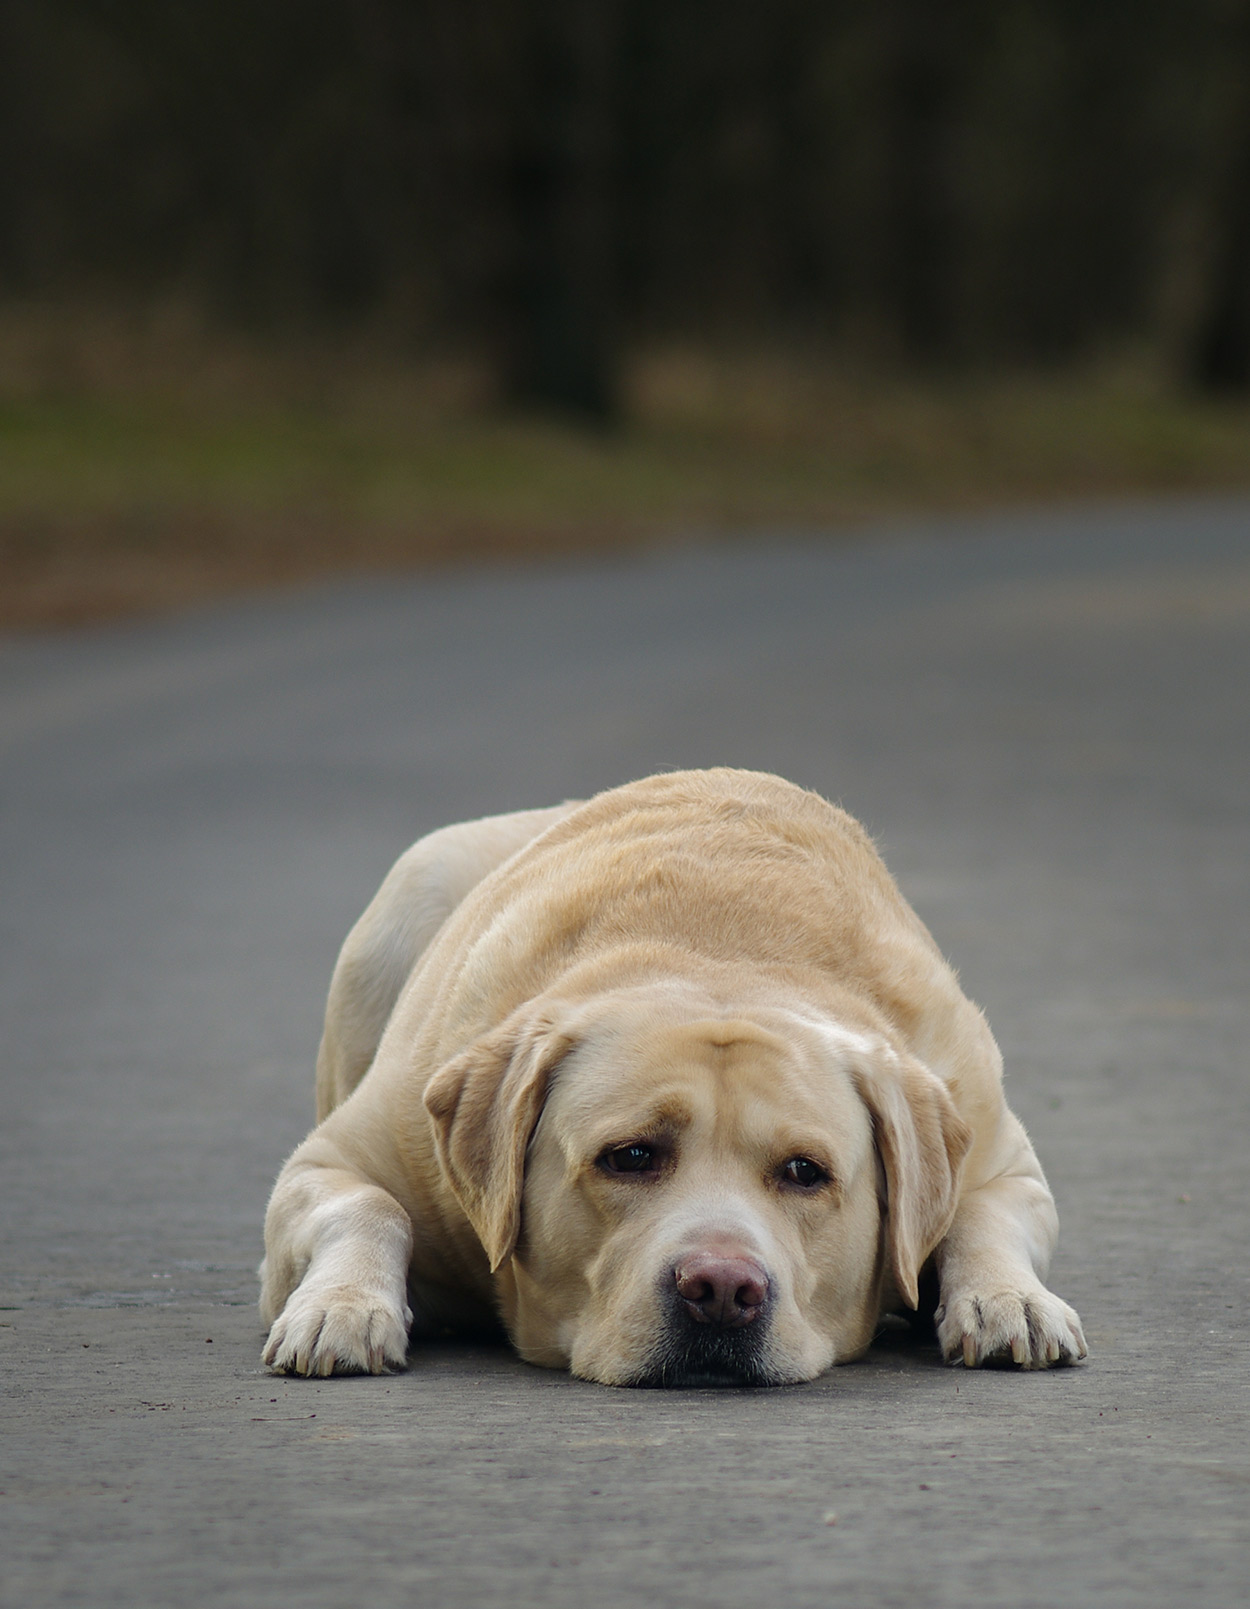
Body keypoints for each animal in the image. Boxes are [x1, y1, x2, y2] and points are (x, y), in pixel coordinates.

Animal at [260, 765, 1081, 1383]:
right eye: (630, 1157)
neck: (718, 955)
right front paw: (342, 1306)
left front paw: (1008, 1297)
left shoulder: (993, 1145)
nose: (721, 1289)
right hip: (412, 885)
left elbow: (981, 1210)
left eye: (804, 1172)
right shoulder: (335, 1157)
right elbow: (369, 1204)